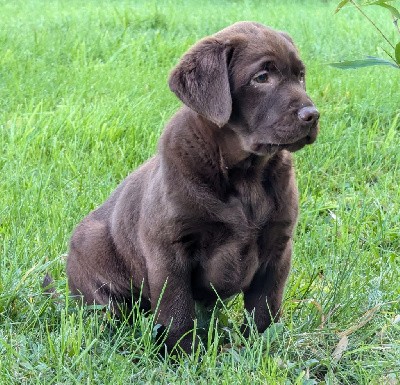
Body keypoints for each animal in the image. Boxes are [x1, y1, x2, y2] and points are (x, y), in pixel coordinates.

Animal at [66, 20, 318, 352]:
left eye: (300, 75)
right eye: (262, 77)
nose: (313, 115)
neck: (245, 176)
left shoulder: (278, 246)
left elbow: (265, 306)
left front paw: (261, 348)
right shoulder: (169, 250)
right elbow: (177, 310)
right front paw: (180, 355)